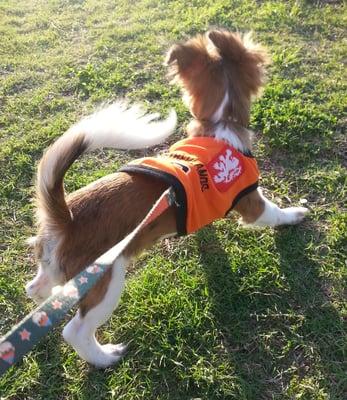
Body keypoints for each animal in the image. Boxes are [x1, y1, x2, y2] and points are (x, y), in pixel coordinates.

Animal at [24, 29, 308, 368]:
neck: (219, 126)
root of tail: (64, 219)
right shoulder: (252, 201)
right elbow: (274, 212)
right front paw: (296, 214)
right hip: (105, 283)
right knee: (75, 331)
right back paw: (104, 357)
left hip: (54, 272)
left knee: (36, 289)